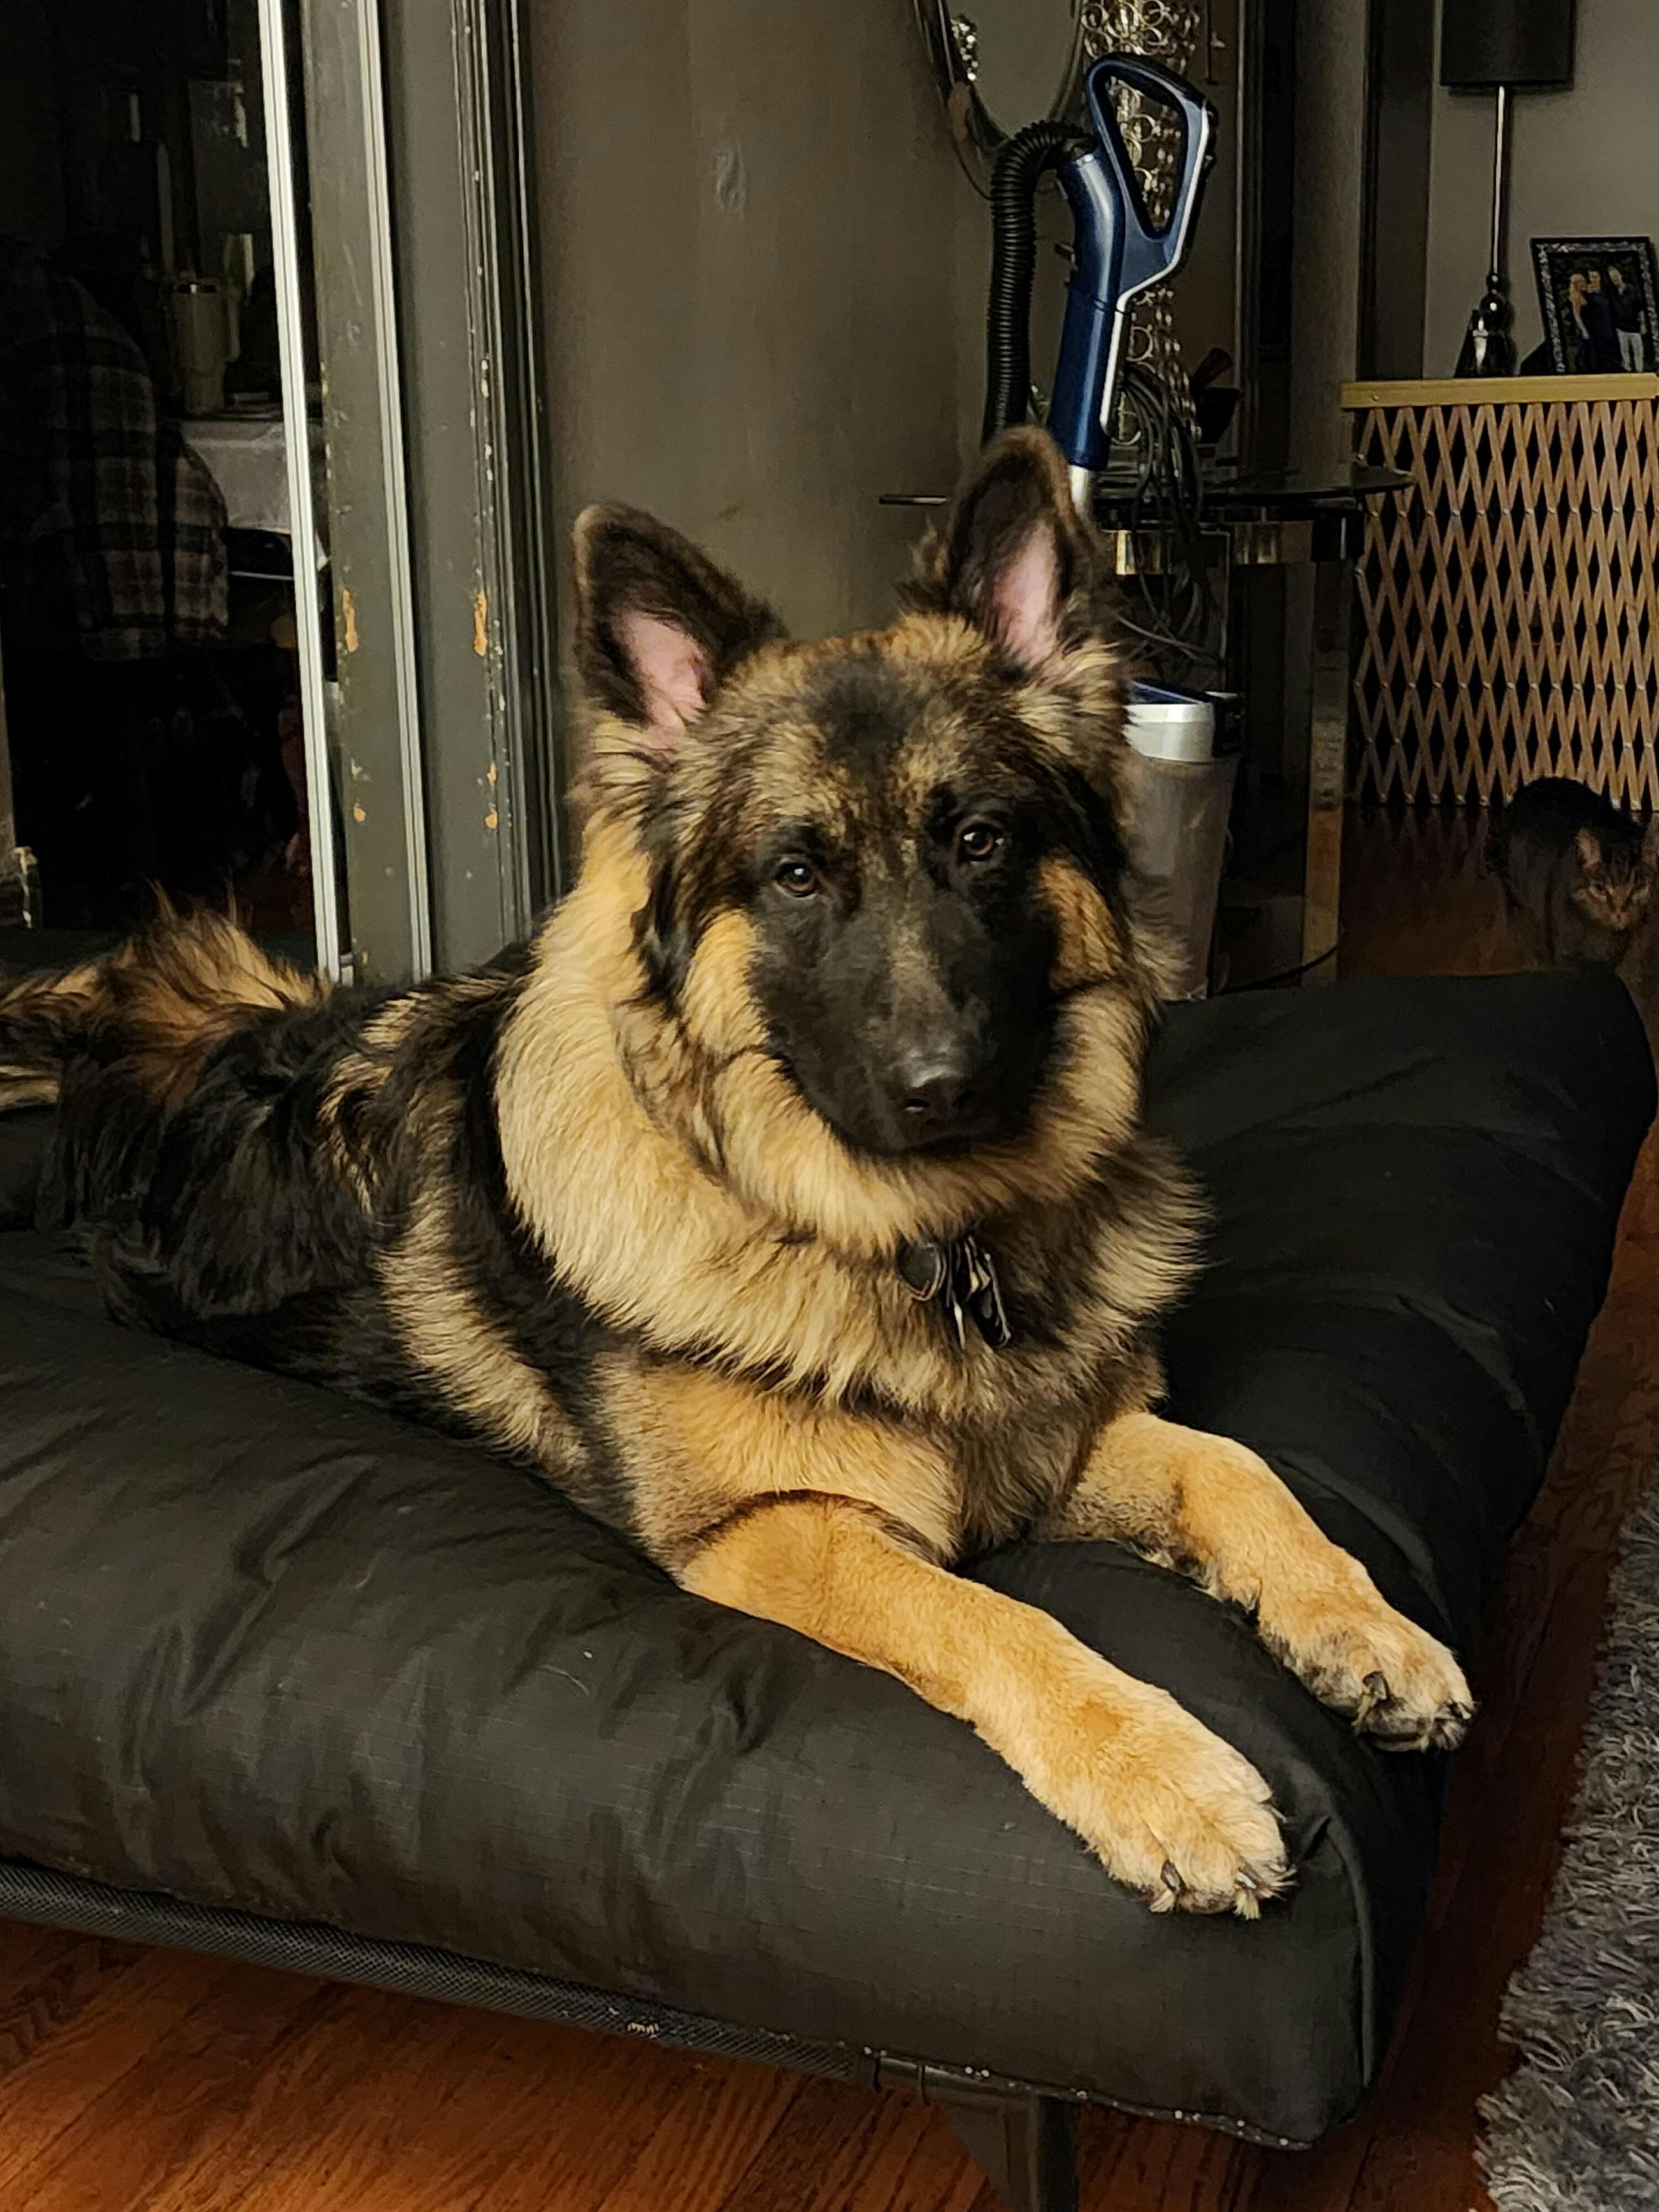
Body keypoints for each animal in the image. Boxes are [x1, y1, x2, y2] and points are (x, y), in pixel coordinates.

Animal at [0, 427, 1472, 1915]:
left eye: (982, 841)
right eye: (794, 875)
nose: (946, 1089)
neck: (927, 1245)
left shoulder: (1066, 1441)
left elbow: (1238, 1467)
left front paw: (1362, 1624)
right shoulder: (780, 1525)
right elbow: (991, 1614)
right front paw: (1162, 1776)